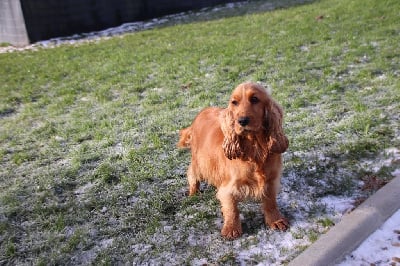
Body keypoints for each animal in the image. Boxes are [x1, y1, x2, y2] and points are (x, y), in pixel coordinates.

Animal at [178, 81, 288, 239]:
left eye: (254, 99)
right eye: (234, 102)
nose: (241, 121)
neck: (255, 147)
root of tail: (201, 112)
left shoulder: (271, 180)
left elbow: (270, 202)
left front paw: (276, 221)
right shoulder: (229, 186)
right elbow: (232, 209)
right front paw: (231, 229)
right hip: (198, 162)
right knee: (192, 175)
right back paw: (193, 193)